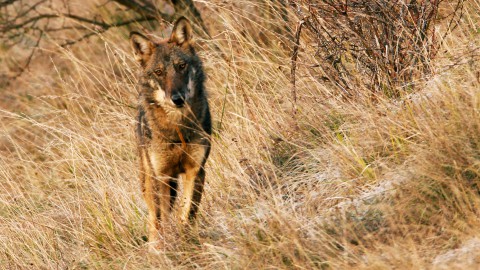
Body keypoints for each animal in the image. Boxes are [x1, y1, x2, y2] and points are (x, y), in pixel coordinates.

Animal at [130, 16, 213, 249]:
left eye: (181, 66)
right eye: (159, 72)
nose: (178, 98)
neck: (178, 130)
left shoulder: (196, 170)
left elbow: (187, 213)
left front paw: (185, 240)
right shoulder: (162, 177)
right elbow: (161, 221)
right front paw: (163, 249)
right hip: (149, 181)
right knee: (153, 220)